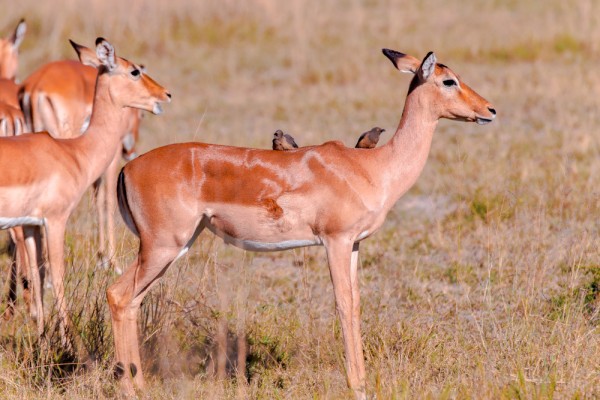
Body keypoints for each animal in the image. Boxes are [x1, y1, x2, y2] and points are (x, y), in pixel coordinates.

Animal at [110, 47, 494, 396]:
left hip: (173, 247)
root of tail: (127, 169)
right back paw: (129, 388)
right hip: (162, 246)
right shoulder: (335, 241)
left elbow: (356, 305)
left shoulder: (354, 243)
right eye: (449, 80)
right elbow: (343, 304)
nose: (489, 110)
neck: (374, 167)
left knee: (132, 301)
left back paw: (140, 385)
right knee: (117, 294)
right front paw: (357, 385)